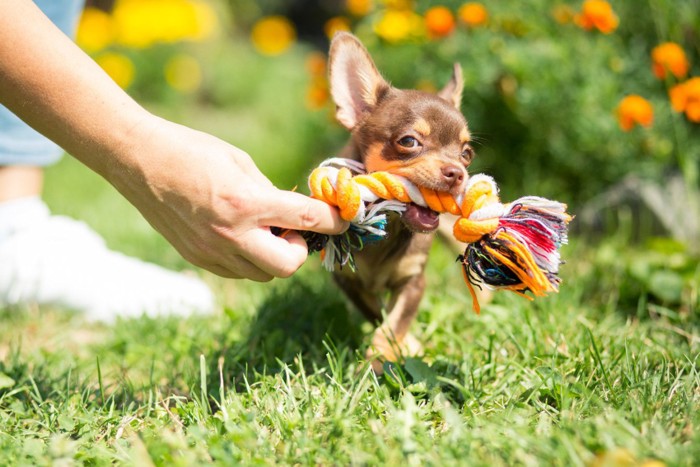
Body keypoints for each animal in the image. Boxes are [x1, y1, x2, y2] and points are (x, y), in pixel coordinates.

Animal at [328, 32, 476, 372]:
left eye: (466, 153)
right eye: (409, 142)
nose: (458, 173)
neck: (390, 224)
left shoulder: (413, 282)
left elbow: (394, 324)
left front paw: (382, 355)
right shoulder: (348, 281)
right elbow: (378, 314)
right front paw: (389, 352)